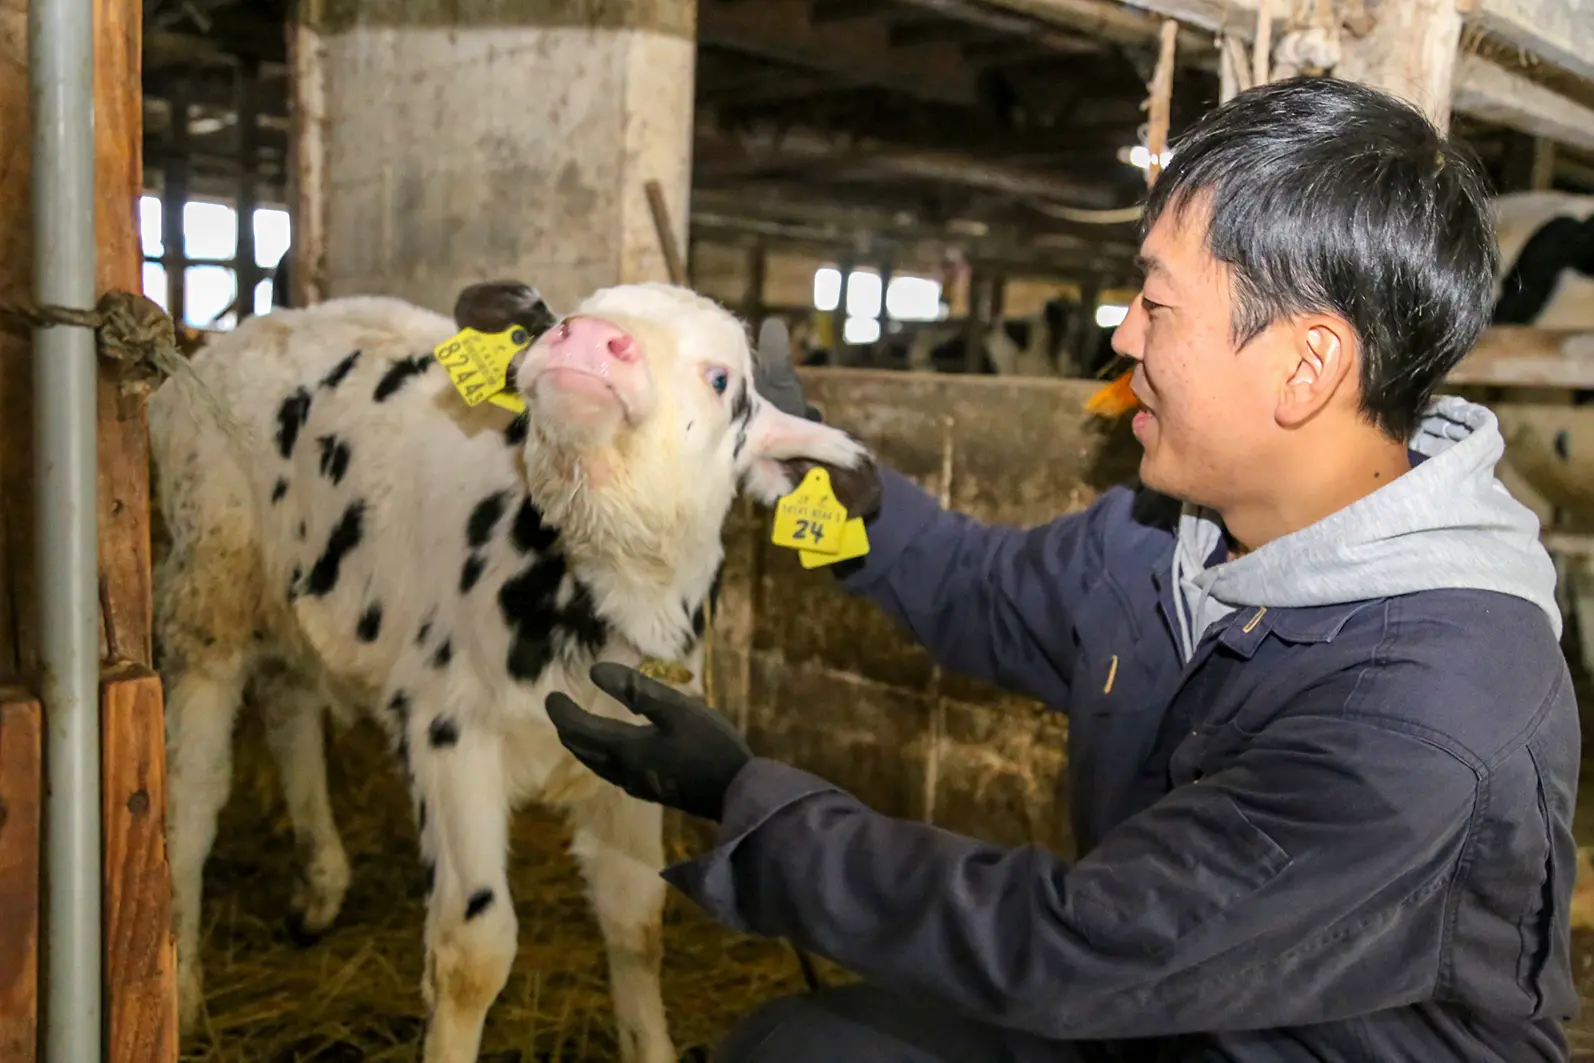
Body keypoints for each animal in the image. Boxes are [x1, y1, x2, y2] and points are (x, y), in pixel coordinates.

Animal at [148, 282, 873, 1063]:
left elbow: (638, 922)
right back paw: (183, 988)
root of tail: (254, 327)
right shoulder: (451, 730)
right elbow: (474, 954)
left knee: (291, 710)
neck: (592, 599)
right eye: (566, 315)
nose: (588, 336)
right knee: (193, 788)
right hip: (209, 580)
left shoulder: (638, 752)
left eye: (721, 378)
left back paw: (319, 886)